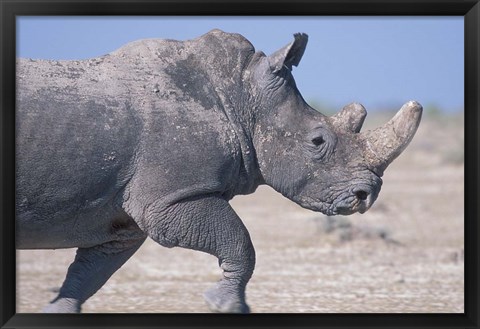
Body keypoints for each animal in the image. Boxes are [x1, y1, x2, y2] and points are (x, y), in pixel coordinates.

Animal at [15, 30, 420, 312]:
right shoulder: (169, 199)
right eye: (317, 142)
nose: (365, 196)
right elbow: (240, 241)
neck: (242, 95)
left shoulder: (119, 218)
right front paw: (225, 304)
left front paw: (56, 310)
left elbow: (87, 273)